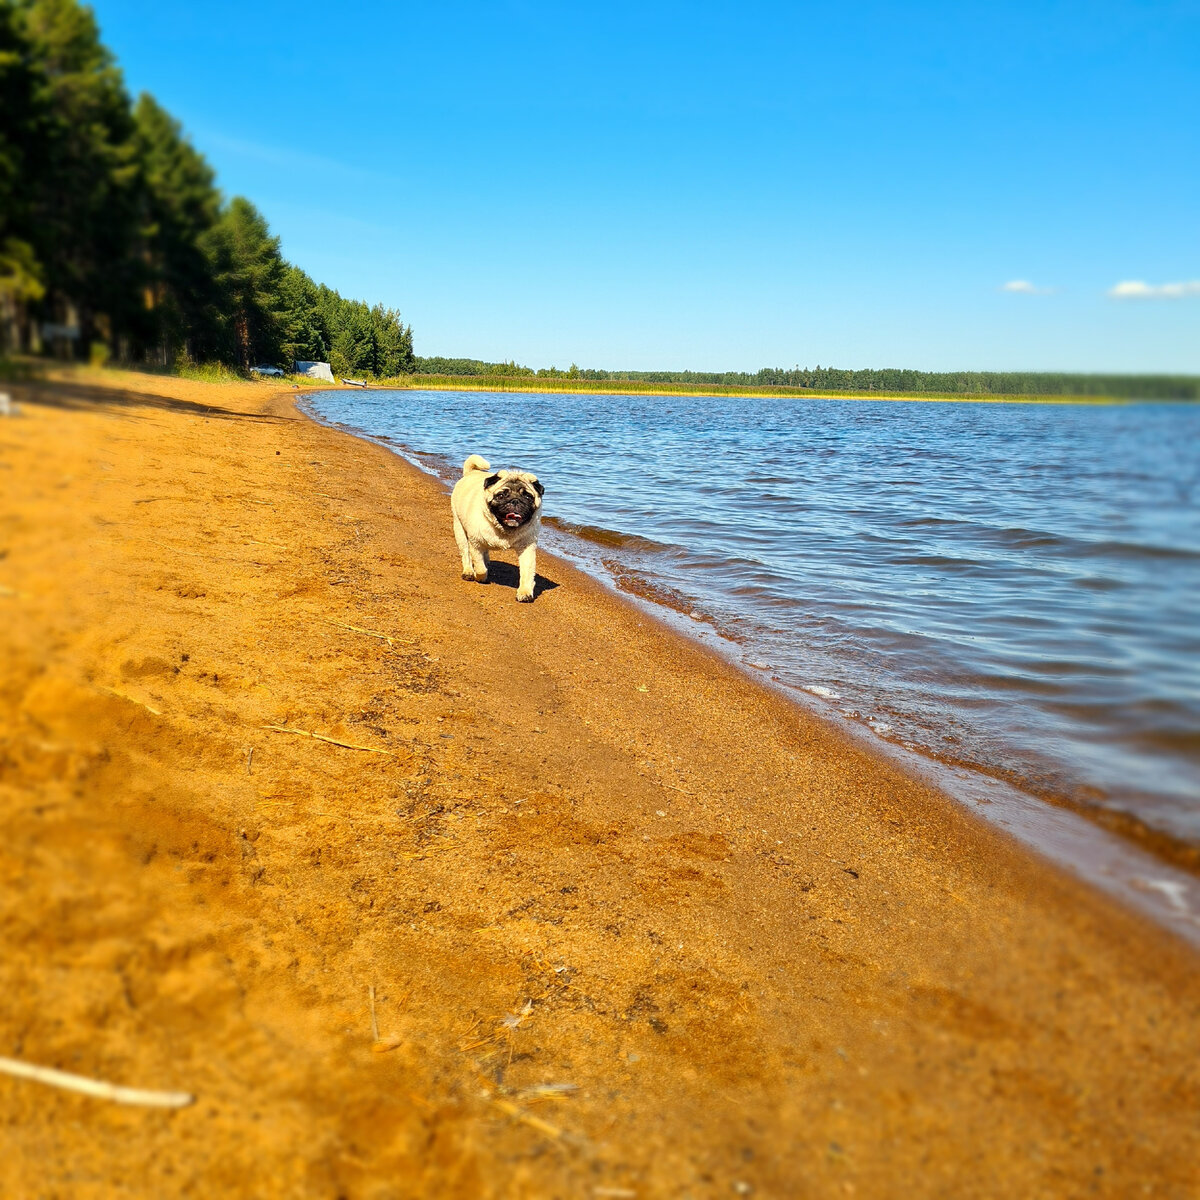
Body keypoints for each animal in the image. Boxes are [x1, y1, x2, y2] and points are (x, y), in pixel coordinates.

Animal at [451, 451, 544, 600]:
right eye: (501, 495)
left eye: (528, 497)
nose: (515, 501)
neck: (505, 529)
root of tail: (471, 473)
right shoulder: (475, 543)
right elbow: (480, 566)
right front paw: (480, 576)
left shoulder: (527, 548)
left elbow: (527, 572)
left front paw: (525, 591)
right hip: (459, 529)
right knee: (466, 553)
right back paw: (469, 572)